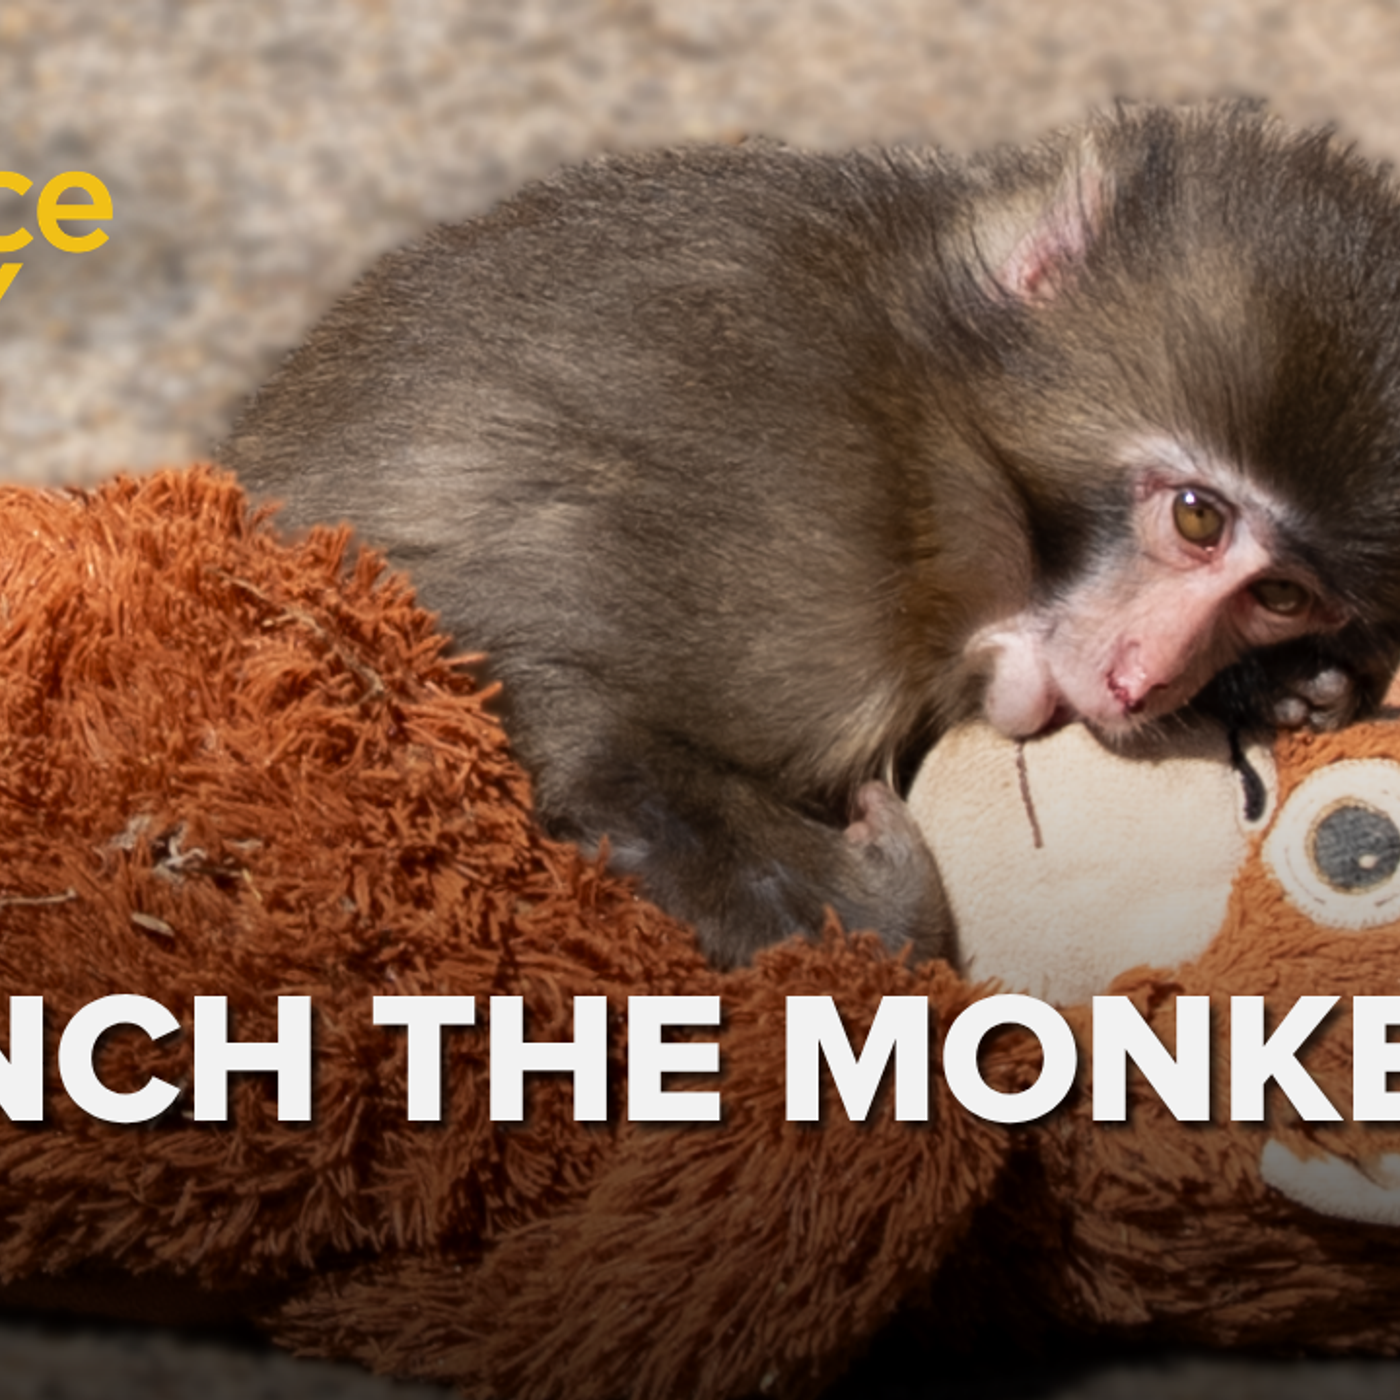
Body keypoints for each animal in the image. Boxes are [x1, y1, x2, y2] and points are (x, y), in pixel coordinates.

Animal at [219, 100, 1400, 969]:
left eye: (1281, 595)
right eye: (1199, 517)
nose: (1144, 676)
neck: (934, 432)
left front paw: (1284, 685)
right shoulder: (800, 529)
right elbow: (545, 698)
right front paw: (881, 909)